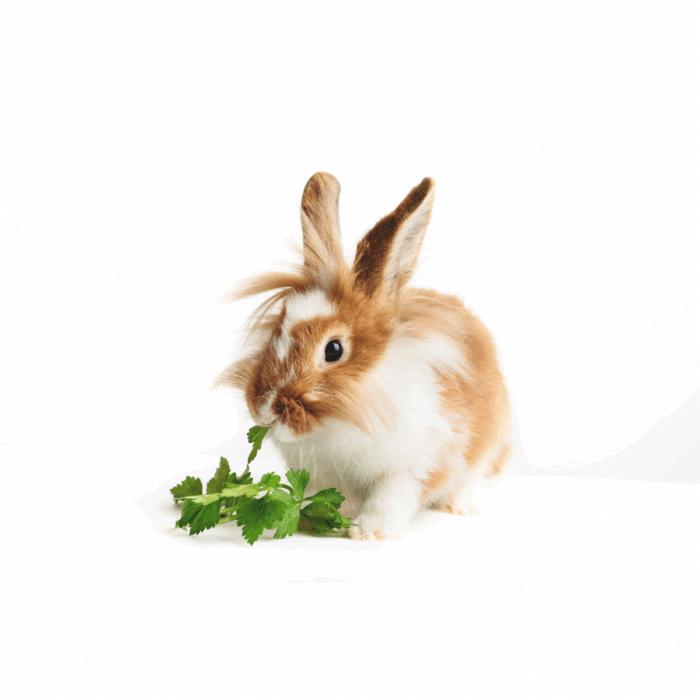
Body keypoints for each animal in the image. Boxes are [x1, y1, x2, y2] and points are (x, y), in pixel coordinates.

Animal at [213, 172, 512, 541]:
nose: (265, 410)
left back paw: (458, 507)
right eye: (276, 331)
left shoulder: (411, 468)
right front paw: (319, 520)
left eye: (334, 349)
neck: (343, 419)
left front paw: (368, 532)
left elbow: (389, 499)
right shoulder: (320, 474)